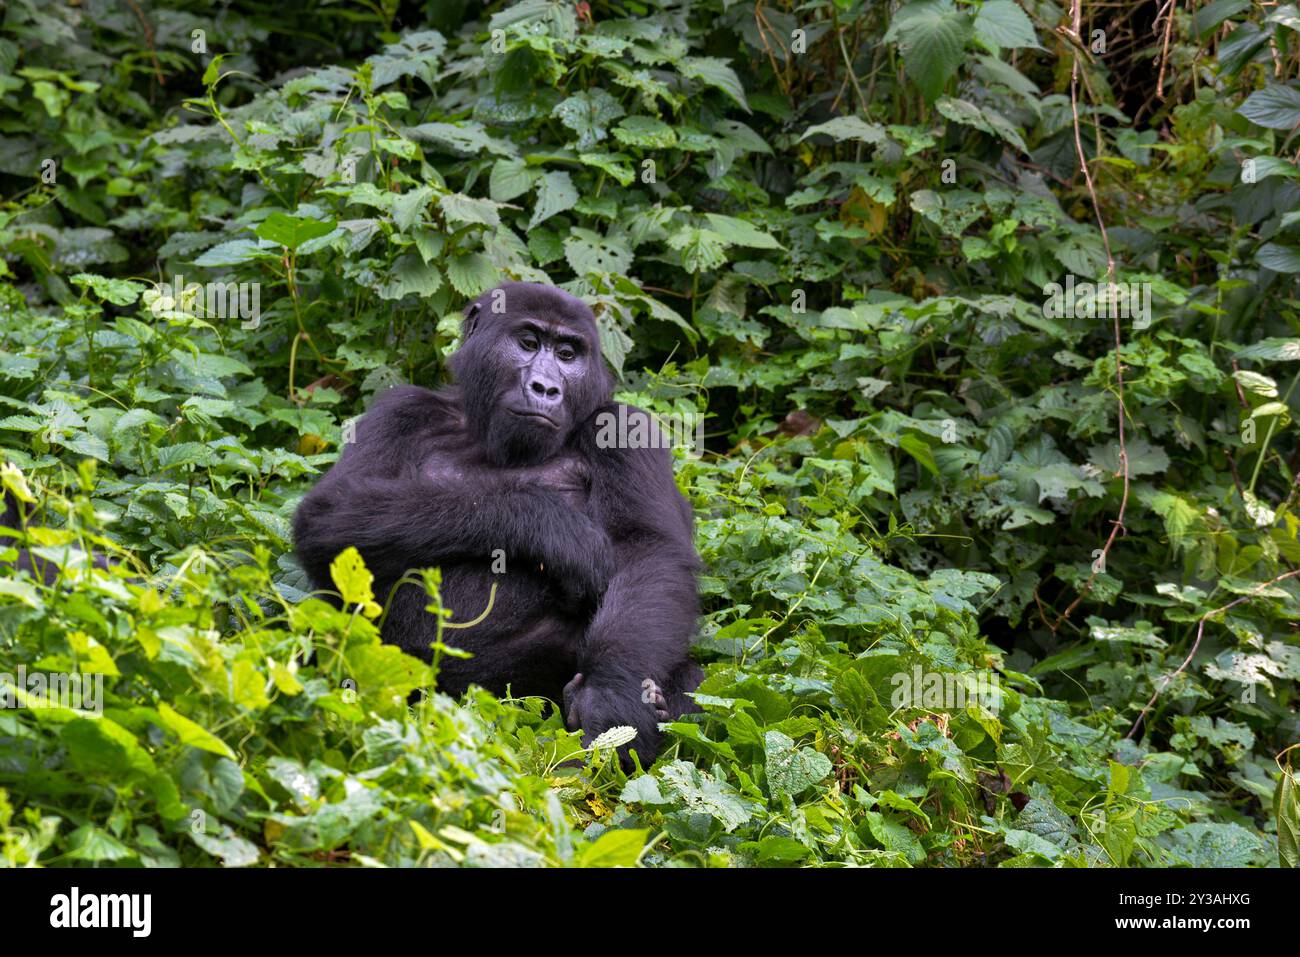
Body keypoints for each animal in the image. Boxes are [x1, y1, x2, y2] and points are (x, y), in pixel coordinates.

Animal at [292, 280, 702, 764]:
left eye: (568, 354)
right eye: (527, 343)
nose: (545, 388)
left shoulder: (625, 425)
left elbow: (647, 548)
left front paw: (611, 694)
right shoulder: (402, 408)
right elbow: (328, 515)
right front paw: (549, 525)